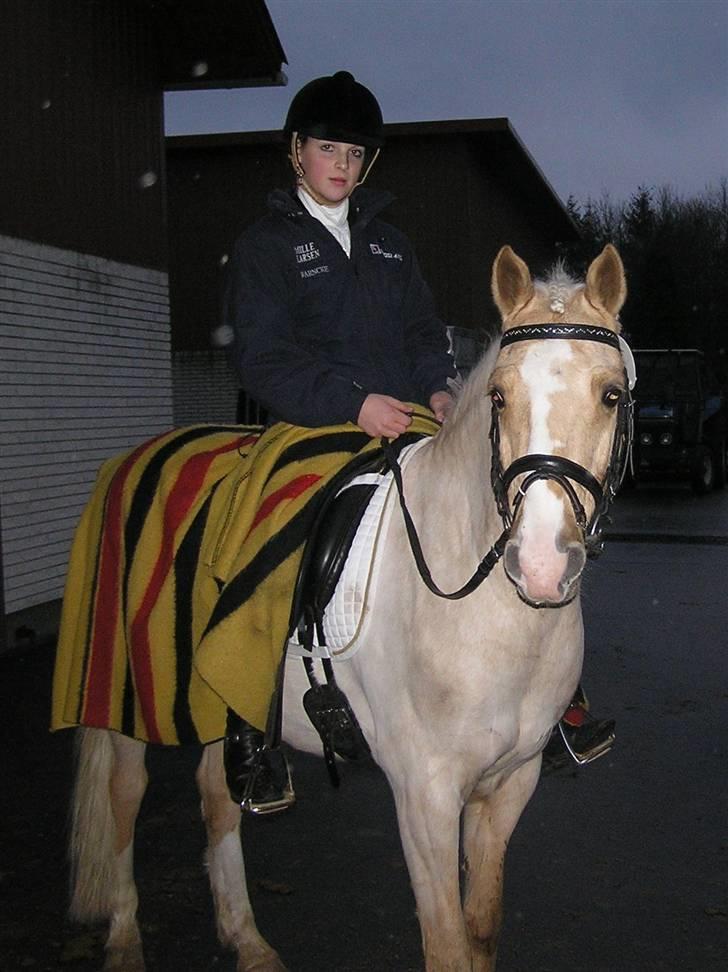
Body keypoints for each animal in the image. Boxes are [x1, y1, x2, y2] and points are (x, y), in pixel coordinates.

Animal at [62, 245, 632, 972]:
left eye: (611, 394)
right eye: (498, 397)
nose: (538, 562)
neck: (479, 614)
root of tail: (128, 461)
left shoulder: (510, 783)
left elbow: (480, 932)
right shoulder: (425, 799)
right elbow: (447, 946)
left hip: (222, 698)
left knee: (218, 799)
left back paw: (248, 941)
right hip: (128, 693)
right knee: (123, 802)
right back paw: (125, 940)